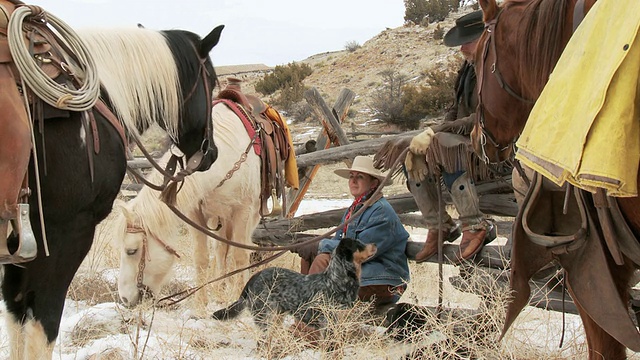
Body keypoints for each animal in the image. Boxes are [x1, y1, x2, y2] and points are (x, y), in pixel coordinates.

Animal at [0, 2, 222, 358]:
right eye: (212, 80)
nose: (211, 152)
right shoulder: (64, 232)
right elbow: (41, 326)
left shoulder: (19, 245)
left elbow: (16, 319)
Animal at [112, 102, 260, 314]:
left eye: (131, 251)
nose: (124, 299)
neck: (225, 160)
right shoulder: (195, 214)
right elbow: (201, 257)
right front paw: (200, 306)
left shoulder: (243, 211)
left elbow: (240, 255)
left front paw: (237, 298)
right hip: (220, 219)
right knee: (221, 250)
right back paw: (220, 289)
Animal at [212, 238, 378, 334]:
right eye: (359, 244)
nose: (376, 244)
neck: (336, 280)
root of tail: (255, 276)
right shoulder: (328, 324)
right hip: (265, 317)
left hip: (277, 316)